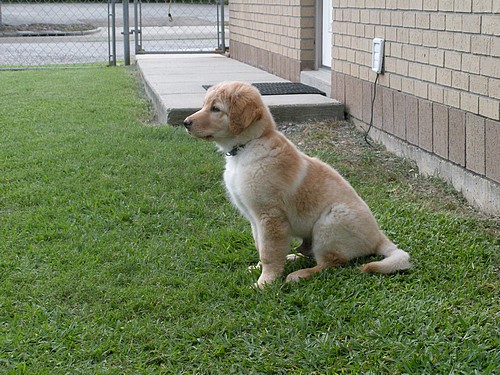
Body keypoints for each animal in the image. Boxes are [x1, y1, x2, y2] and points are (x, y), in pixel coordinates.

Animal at [184, 81, 410, 288]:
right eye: (204, 106)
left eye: (215, 109)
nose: (186, 122)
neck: (248, 146)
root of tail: (378, 237)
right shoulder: (254, 218)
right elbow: (260, 245)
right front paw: (259, 269)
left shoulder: (270, 216)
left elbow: (268, 251)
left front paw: (265, 282)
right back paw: (292, 257)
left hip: (329, 222)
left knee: (332, 263)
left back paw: (300, 274)